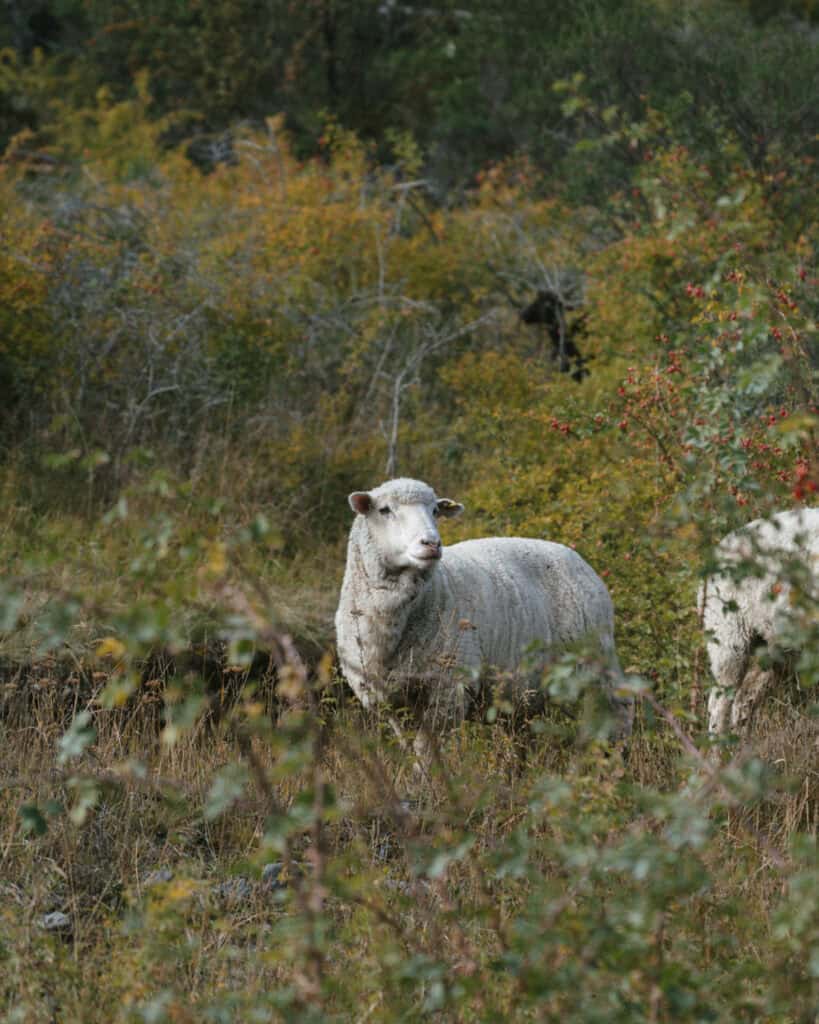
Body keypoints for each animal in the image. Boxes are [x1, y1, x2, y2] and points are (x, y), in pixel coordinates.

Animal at [335, 477, 633, 758]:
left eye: (435, 510)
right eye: (384, 510)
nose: (432, 543)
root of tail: (574, 555)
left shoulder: (448, 691)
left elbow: (426, 753)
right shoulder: (389, 702)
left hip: (596, 662)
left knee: (617, 714)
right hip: (523, 691)